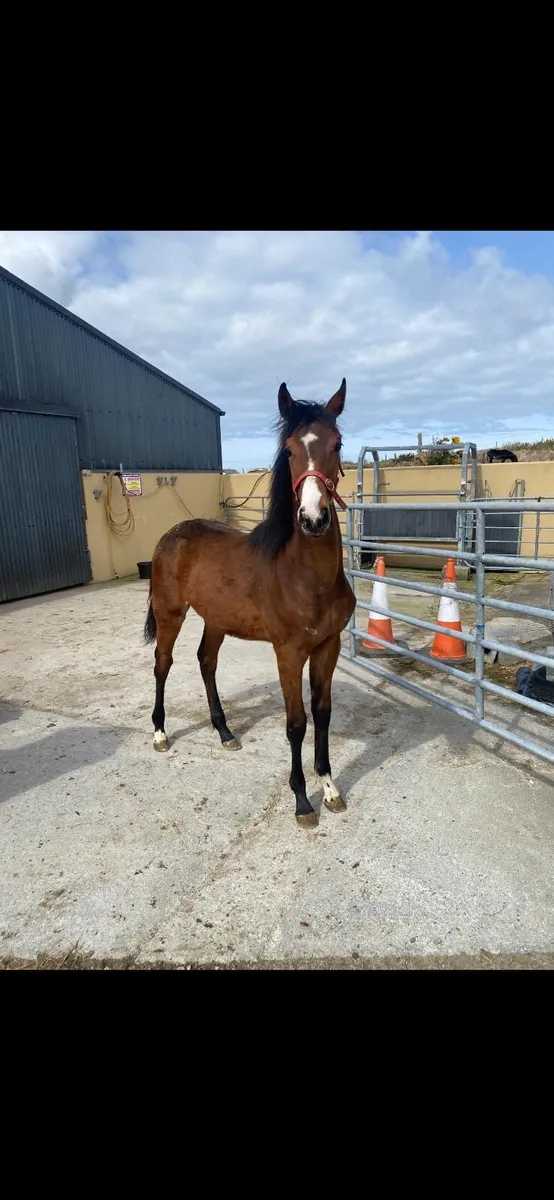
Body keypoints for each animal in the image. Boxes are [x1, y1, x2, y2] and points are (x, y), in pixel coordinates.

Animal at [143, 379, 356, 827]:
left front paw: (330, 788)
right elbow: (296, 723)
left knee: (206, 662)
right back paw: (159, 732)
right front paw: (302, 801)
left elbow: (323, 714)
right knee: (162, 664)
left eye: (338, 444)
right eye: (289, 450)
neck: (305, 576)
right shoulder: (288, 653)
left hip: (215, 620)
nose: (314, 518)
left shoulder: (327, 647)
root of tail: (171, 534)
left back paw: (225, 733)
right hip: (170, 614)